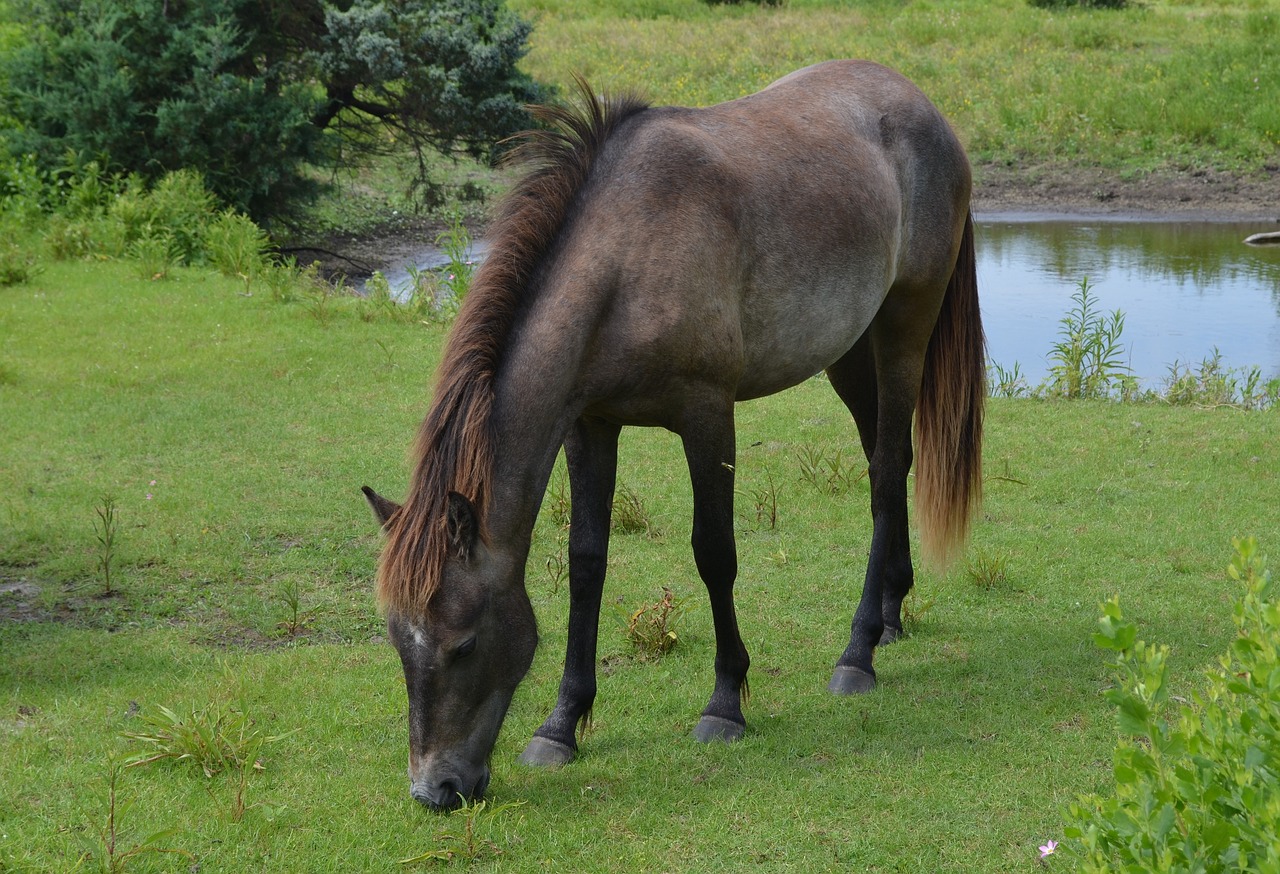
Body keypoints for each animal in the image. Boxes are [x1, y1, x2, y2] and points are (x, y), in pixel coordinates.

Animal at [366, 59, 983, 813]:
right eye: (399, 643)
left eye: (463, 643)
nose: (436, 788)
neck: (628, 259)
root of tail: (925, 108)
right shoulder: (590, 425)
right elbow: (586, 563)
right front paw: (561, 725)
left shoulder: (706, 412)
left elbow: (714, 553)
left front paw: (725, 704)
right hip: (848, 350)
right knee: (881, 465)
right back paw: (892, 613)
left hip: (904, 327)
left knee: (891, 466)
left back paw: (857, 652)